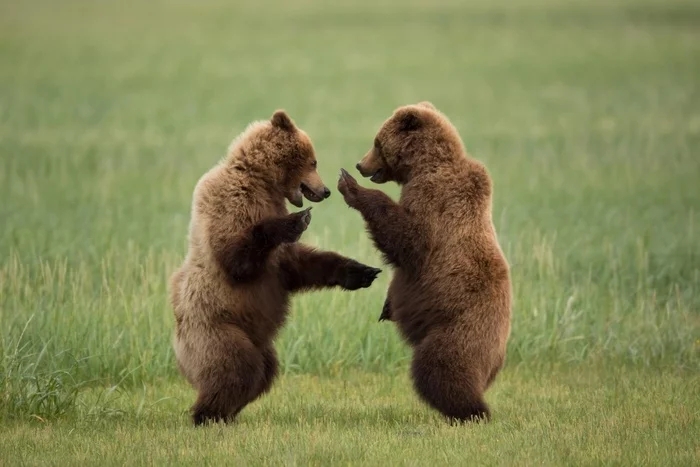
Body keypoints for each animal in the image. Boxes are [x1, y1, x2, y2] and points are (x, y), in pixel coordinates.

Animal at [172, 111, 382, 426]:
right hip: (216, 328)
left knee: (264, 371)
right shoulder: (232, 202)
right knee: (236, 367)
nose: (325, 191)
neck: (262, 182)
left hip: (257, 340)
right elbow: (235, 256)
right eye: (313, 161)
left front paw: (361, 271)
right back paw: (207, 415)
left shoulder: (279, 249)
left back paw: (228, 414)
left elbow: (296, 265)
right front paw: (296, 220)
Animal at [336, 102, 512, 424]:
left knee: (440, 370)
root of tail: (497, 358)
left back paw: (472, 411)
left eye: (377, 143)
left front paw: (350, 187)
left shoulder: (435, 199)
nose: (358, 165)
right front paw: (387, 307)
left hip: (459, 332)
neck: (422, 166)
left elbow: (408, 238)